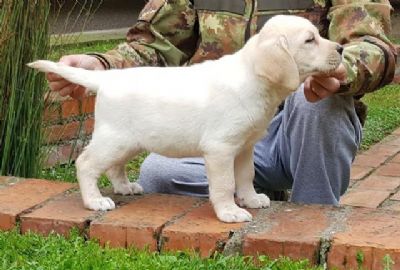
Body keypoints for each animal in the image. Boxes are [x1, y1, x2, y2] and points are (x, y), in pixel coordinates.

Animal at [28, 14, 340, 223]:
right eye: (310, 40)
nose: (340, 48)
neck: (253, 78)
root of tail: (107, 79)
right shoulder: (220, 149)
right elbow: (225, 184)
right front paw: (229, 212)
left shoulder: (244, 147)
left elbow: (245, 176)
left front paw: (251, 199)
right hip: (113, 139)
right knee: (86, 163)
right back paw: (95, 201)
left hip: (128, 141)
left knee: (115, 166)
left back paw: (125, 187)